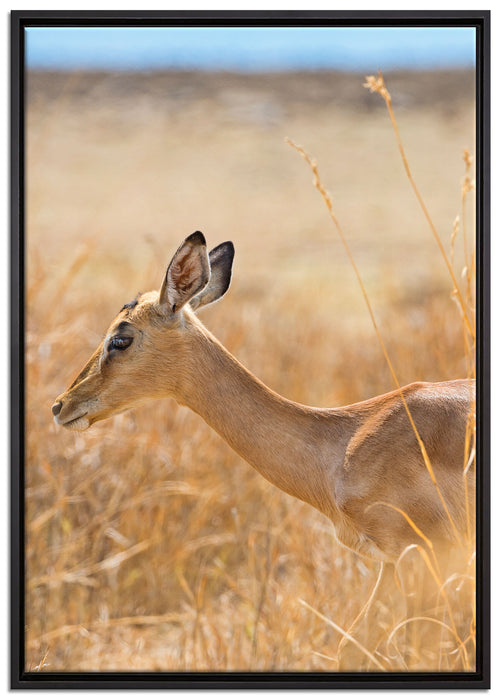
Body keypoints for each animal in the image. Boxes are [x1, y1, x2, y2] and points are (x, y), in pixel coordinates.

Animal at [52, 232, 475, 669]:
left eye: (120, 338)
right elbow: (352, 647)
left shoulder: (420, 554)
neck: (344, 444)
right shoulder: (390, 563)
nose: (61, 405)